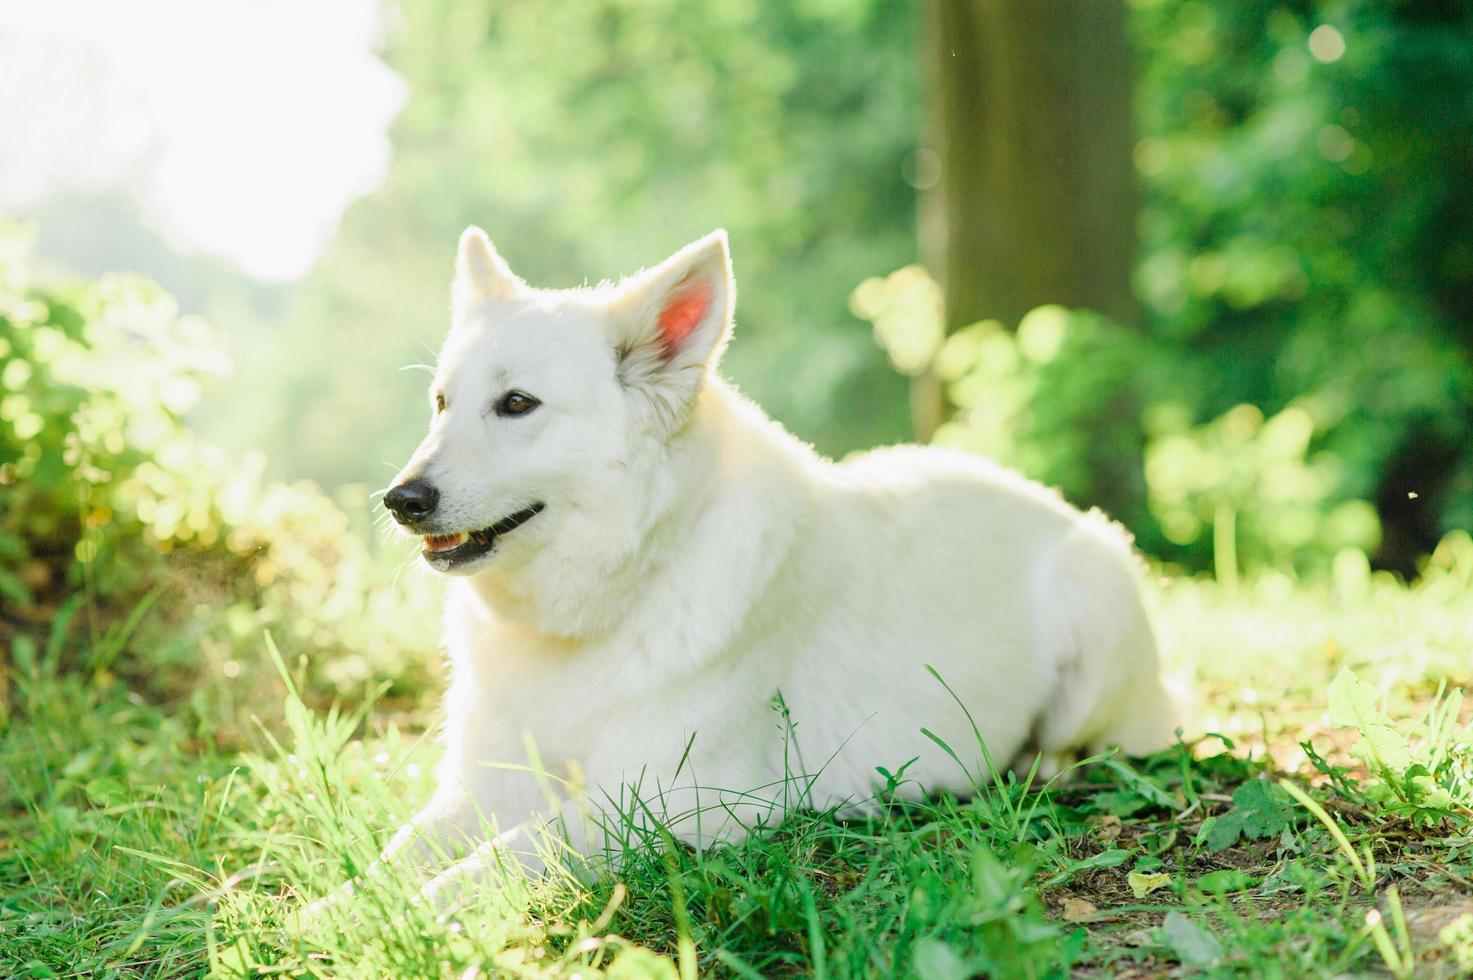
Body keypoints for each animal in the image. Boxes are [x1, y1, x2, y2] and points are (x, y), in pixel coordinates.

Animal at [365, 225, 1172, 907]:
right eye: (441, 403)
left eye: (517, 404)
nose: (400, 500)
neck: (622, 594)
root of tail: (1041, 495)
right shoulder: (481, 786)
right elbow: (395, 854)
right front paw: (351, 907)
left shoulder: (676, 797)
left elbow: (509, 852)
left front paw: (414, 915)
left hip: (1093, 600)